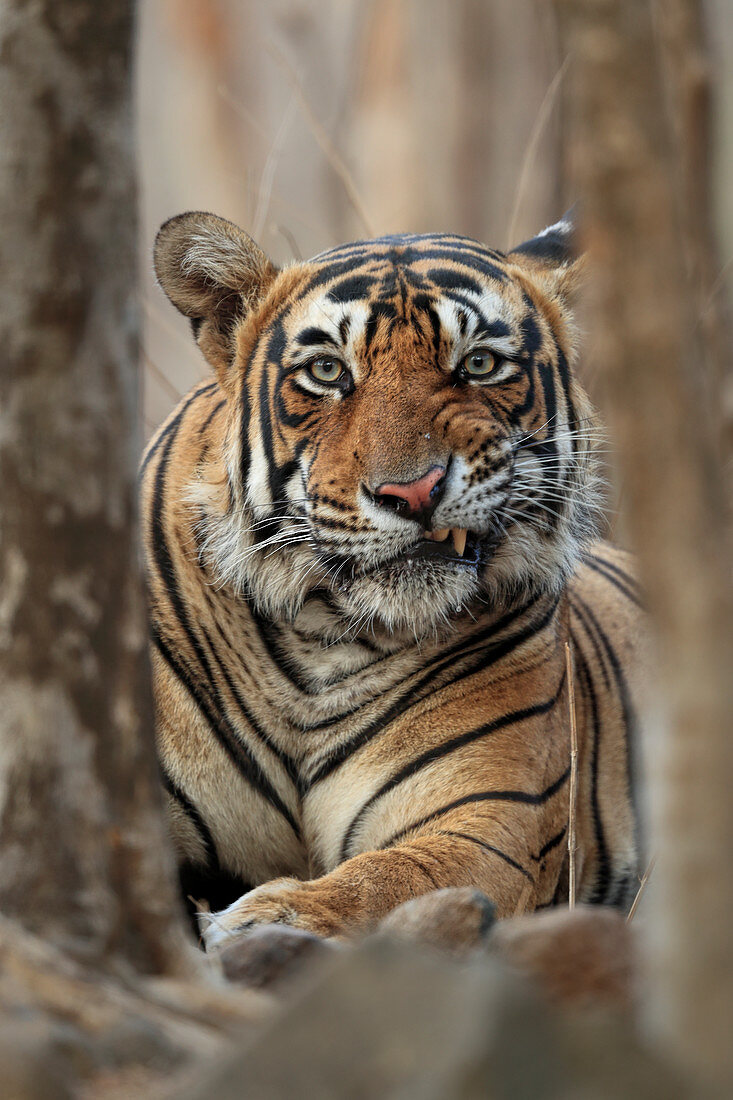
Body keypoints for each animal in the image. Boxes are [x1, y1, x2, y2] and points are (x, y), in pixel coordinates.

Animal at [143, 210, 647, 950]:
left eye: (479, 364)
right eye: (327, 371)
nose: (412, 492)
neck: (320, 643)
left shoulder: (485, 820)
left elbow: (386, 880)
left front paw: (266, 918)